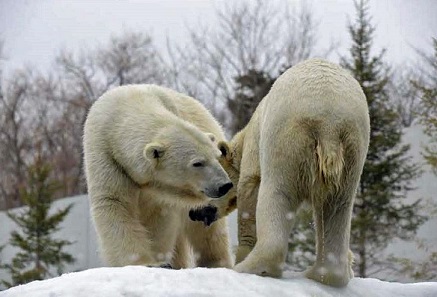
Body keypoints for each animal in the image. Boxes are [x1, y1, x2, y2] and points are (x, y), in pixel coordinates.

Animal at [83, 84, 237, 268]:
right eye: (197, 163)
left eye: (216, 156)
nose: (224, 185)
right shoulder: (106, 155)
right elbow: (114, 203)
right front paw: (144, 263)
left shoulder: (163, 190)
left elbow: (160, 216)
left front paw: (159, 261)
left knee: (208, 230)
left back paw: (215, 263)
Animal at [230, 58, 370, 286]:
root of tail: (329, 123)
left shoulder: (254, 145)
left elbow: (250, 187)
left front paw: (242, 254)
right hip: (352, 148)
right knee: (337, 207)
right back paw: (322, 273)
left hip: (287, 139)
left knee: (276, 194)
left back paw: (251, 267)